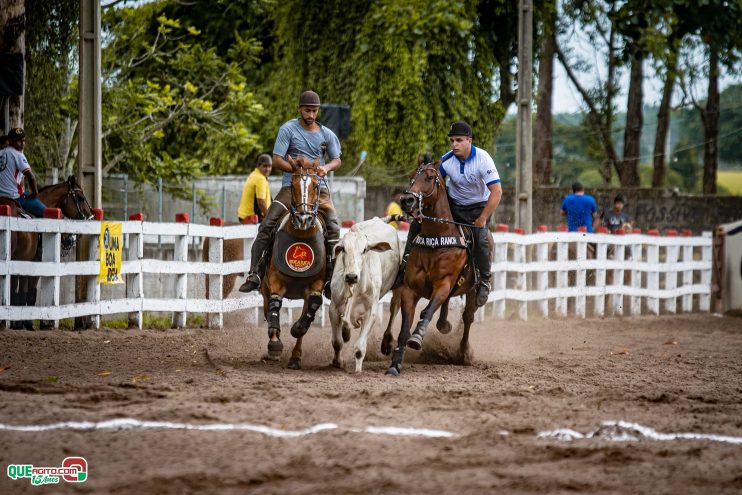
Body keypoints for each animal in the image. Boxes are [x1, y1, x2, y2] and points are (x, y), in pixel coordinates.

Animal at [1, 176, 94, 332]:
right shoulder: (33, 264)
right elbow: (28, 294)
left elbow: (20, 294)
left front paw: (18, 323)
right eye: (81, 198)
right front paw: (25, 324)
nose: (91, 218)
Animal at [330, 217, 402, 372]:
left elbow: (359, 348)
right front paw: (338, 362)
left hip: (399, 288)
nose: (351, 276)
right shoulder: (334, 308)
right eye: (343, 249)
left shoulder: (371, 313)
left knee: (395, 308)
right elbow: (337, 342)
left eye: (364, 250)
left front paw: (357, 371)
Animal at [386, 162, 486, 376]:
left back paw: (463, 353)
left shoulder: (443, 284)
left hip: (472, 292)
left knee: (468, 318)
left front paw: (417, 337)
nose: (407, 200)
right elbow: (404, 328)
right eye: (411, 177)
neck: (437, 238)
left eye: (430, 177)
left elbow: (428, 311)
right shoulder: (410, 289)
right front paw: (395, 364)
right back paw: (443, 325)